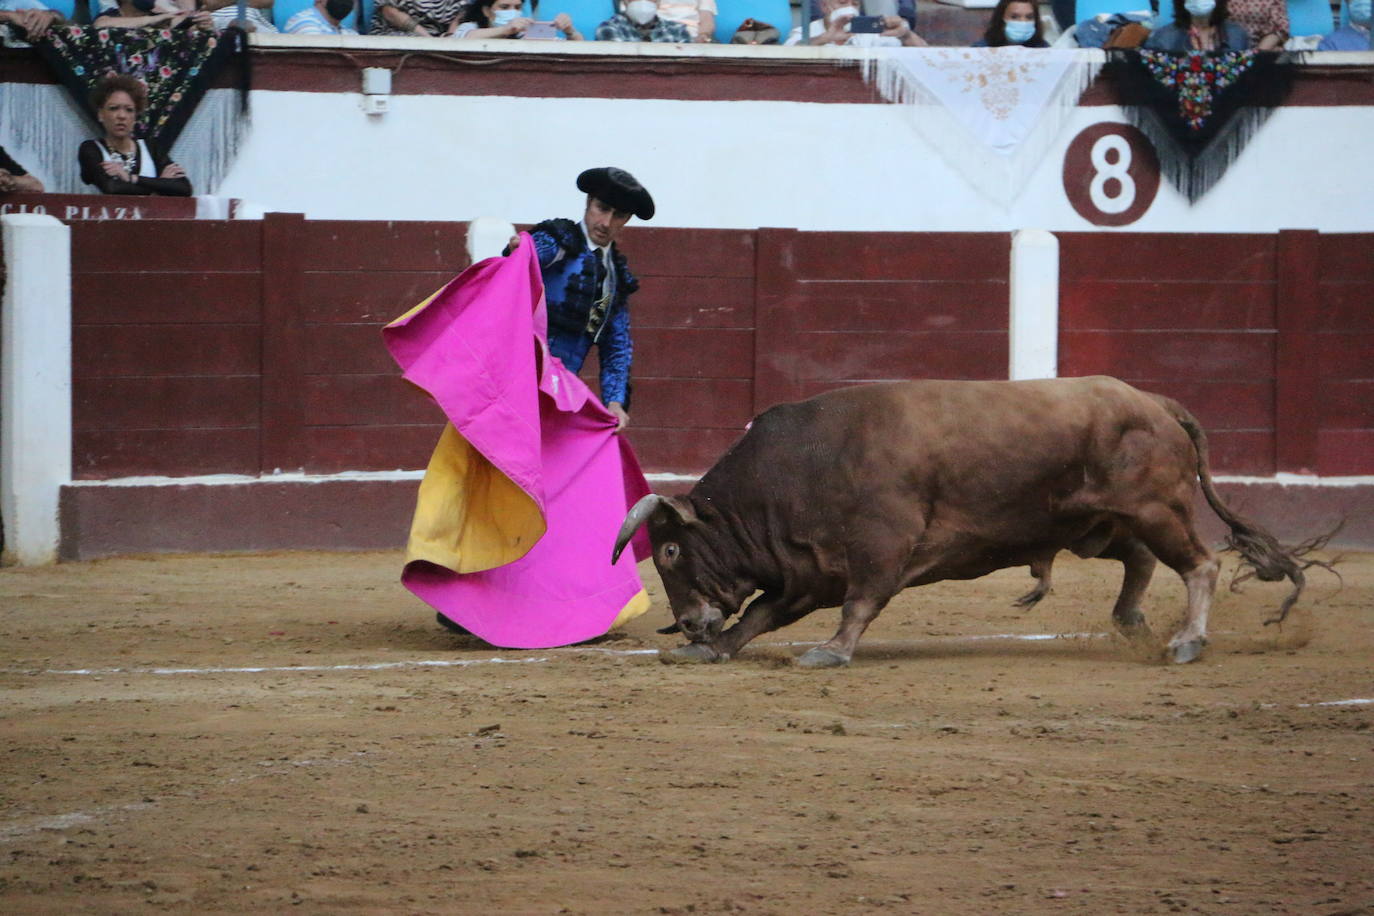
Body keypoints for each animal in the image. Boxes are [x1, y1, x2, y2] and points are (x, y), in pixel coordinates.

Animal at [612, 376, 1308, 670]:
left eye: (668, 552)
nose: (687, 625)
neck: (797, 469)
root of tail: (1153, 401)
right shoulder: (809, 571)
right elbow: (762, 613)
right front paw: (715, 648)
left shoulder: (878, 548)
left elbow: (858, 605)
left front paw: (830, 653)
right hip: (1099, 523)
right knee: (1139, 560)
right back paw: (1131, 623)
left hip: (1157, 508)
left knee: (1201, 564)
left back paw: (1186, 641)